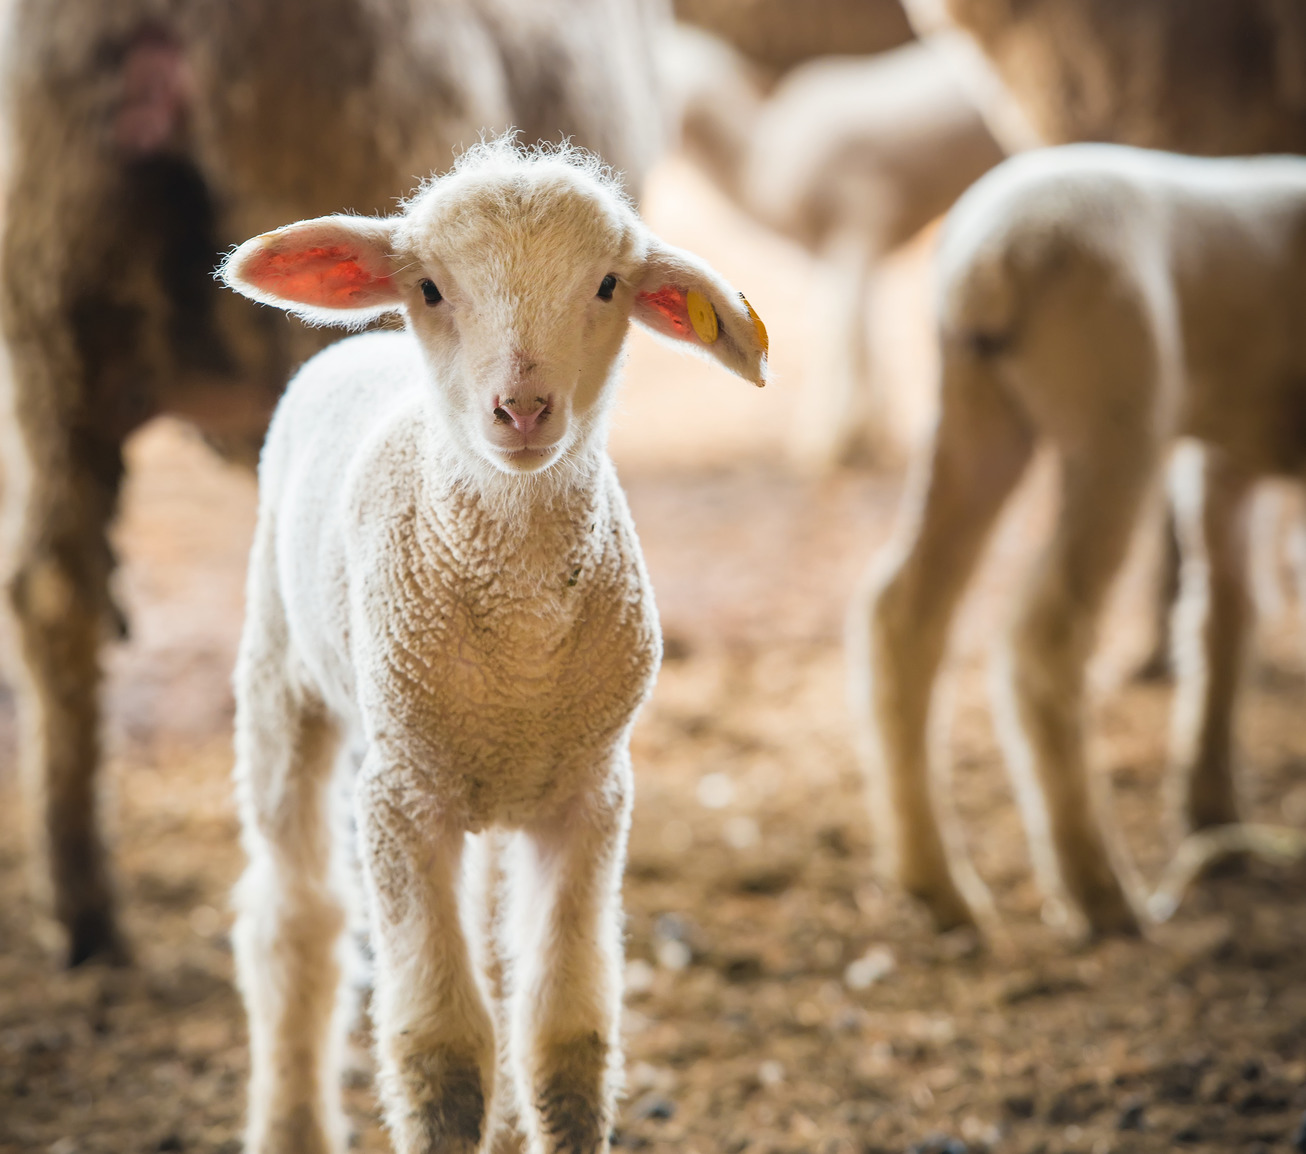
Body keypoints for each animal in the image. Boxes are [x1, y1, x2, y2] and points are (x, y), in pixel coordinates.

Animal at [214, 142, 762, 1154]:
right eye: (430, 287)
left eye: (608, 284)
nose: (523, 408)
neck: (521, 644)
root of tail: (360, 345)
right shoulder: (398, 797)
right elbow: (441, 1054)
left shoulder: (591, 795)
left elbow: (564, 1034)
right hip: (281, 674)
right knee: (292, 919)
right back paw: (290, 1117)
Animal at [663, 23, 997, 464]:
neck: (759, 167)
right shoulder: (843, 254)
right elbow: (862, 332)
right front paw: (867, 433)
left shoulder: (858, 224)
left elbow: (842, 331)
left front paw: (834, 442)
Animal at [846, 142, 1306, 939]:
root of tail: (994, 258)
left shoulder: (1224, 461)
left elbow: (1227, 615)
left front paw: (1211, 807)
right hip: (1118, 411)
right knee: (1045, 635)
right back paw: (1098, 889)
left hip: (971, 412)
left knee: (903, 612)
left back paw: (935, 882)